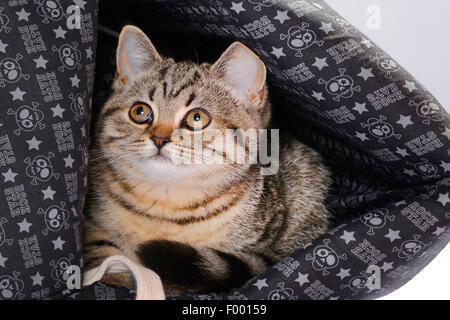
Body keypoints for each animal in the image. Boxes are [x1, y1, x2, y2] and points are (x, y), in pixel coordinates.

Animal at [82, 26, 332, 294]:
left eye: (197, 118)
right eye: (140, 112)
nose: (159, 139)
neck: (166, 208)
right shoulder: (92, 220)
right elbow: (103, 253)